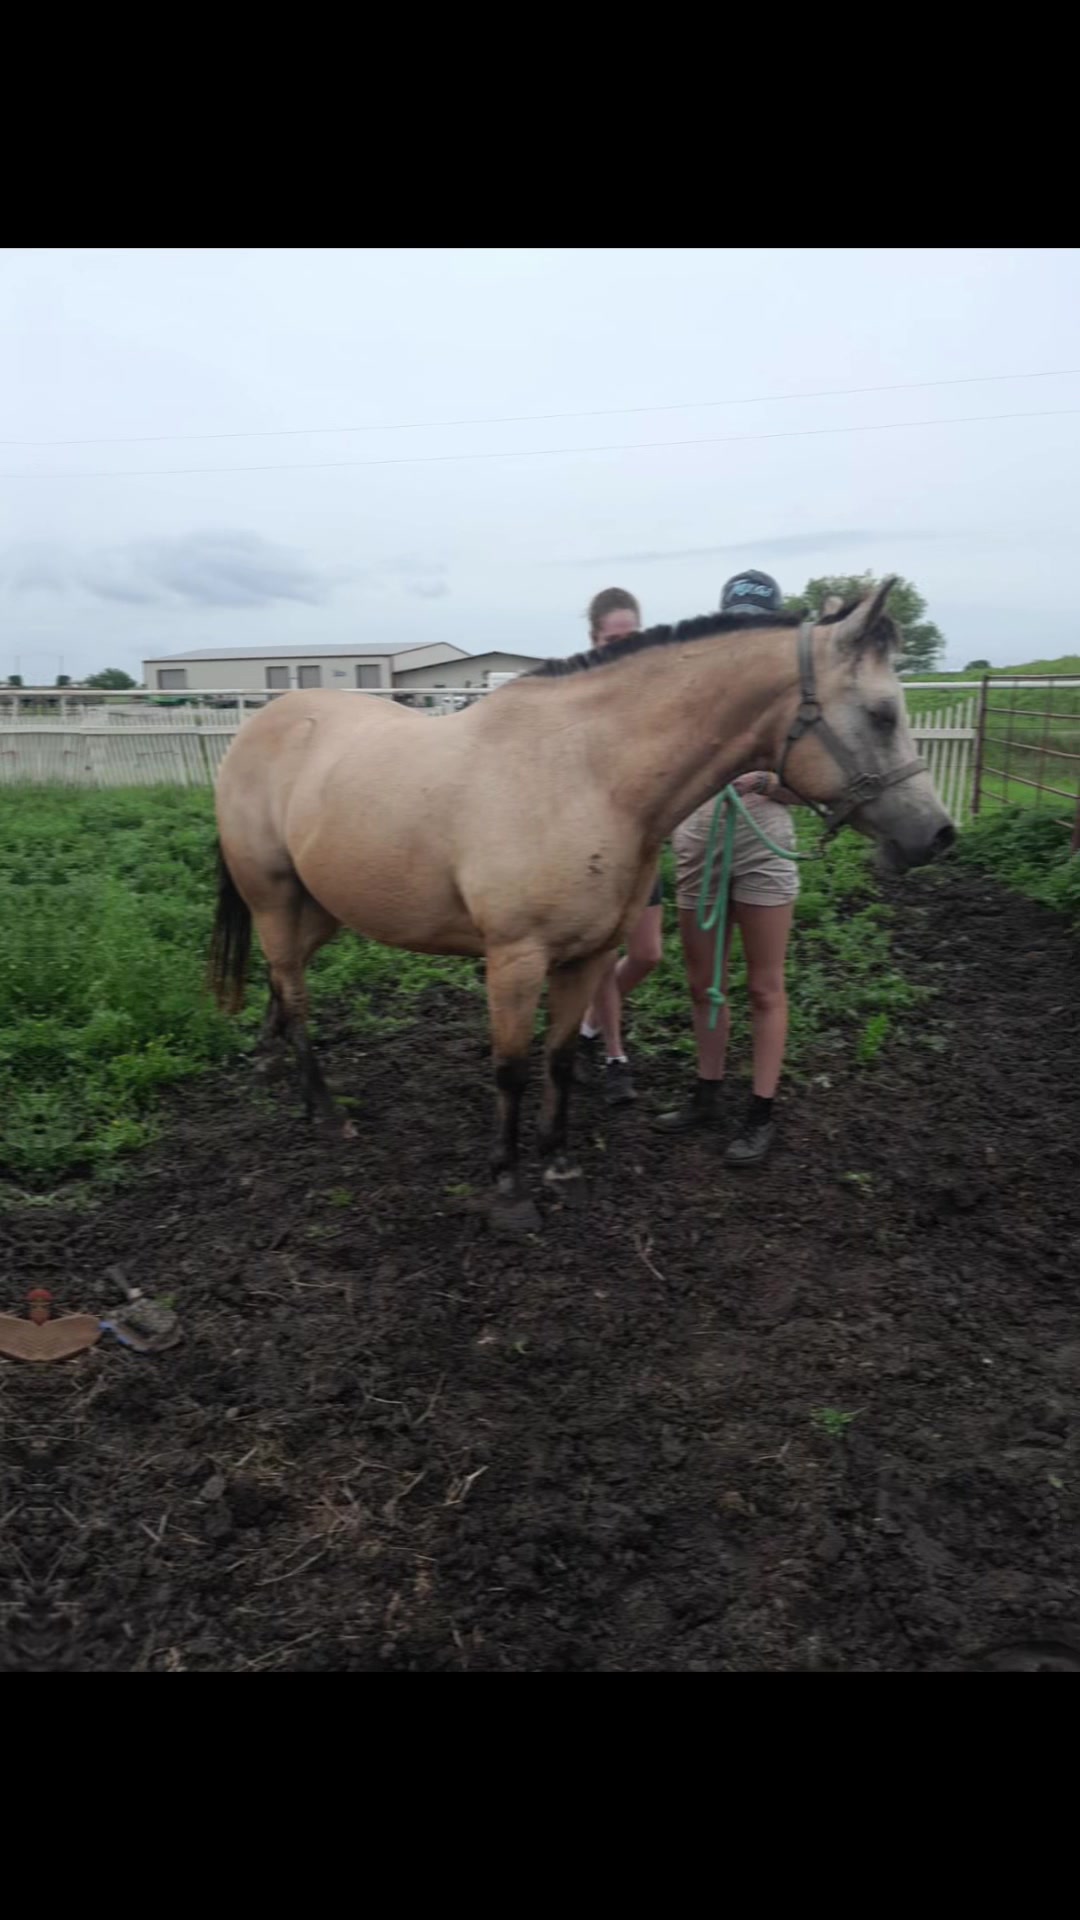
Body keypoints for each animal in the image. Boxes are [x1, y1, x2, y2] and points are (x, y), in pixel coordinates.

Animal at [209, 578, 954, 1224]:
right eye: (881, 713)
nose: (938, 835)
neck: (587, 773)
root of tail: (259, 726)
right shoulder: (514, 960)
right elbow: (511, 1069)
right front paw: (509, 1185)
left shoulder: (588, 955)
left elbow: (562, 1059)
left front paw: (559, 1162)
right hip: (273, 898)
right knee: (296, 992)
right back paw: (327, 1110)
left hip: (322, 906)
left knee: (283, 980)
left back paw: (276, 1067)